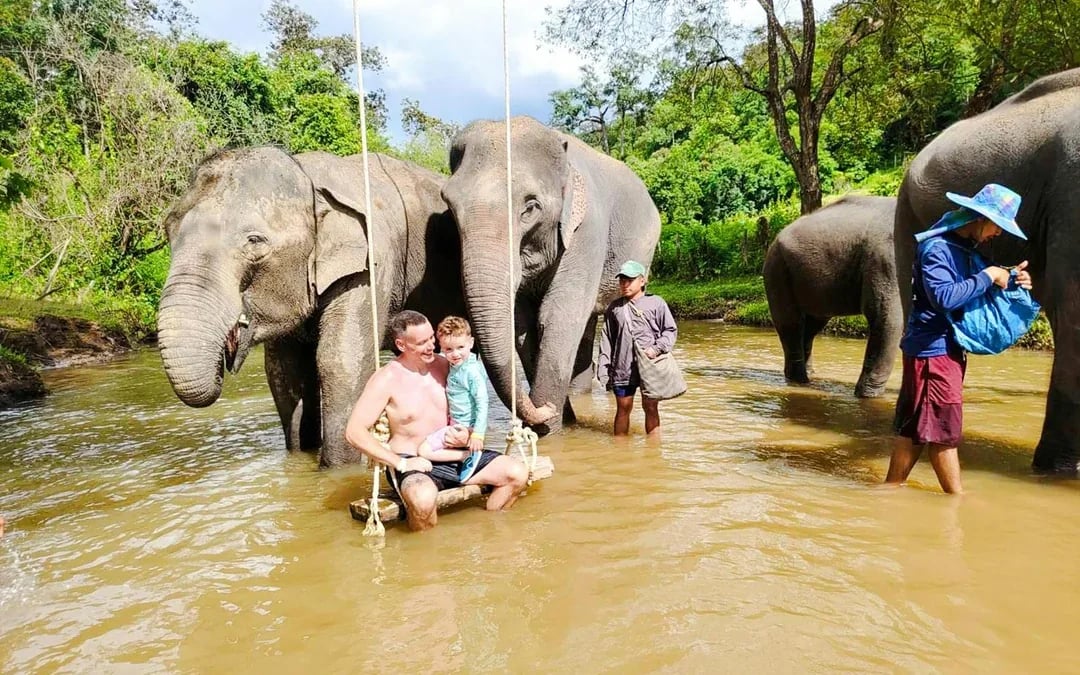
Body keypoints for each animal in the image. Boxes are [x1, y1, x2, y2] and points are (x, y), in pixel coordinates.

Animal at [157, 146, 464, 467]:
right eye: (167, 230)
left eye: (254, 241)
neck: (308, 176)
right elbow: (284, 371)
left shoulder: (372, 266)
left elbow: (342, 361)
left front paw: (336, 471)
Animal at [440, 116, 661, 433]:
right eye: (450, 205)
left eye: (531, 207)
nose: (545, 408)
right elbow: (523, 324)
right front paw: (553, 420)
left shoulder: (587, 229)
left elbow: (557, 316)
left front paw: (550, 429)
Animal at [763, 195, 901, 398]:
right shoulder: (887, 257)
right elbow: (886, 317)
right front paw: (867, 397)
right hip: (777, 269)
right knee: (791, 324)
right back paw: (800, 382)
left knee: (811, 326)